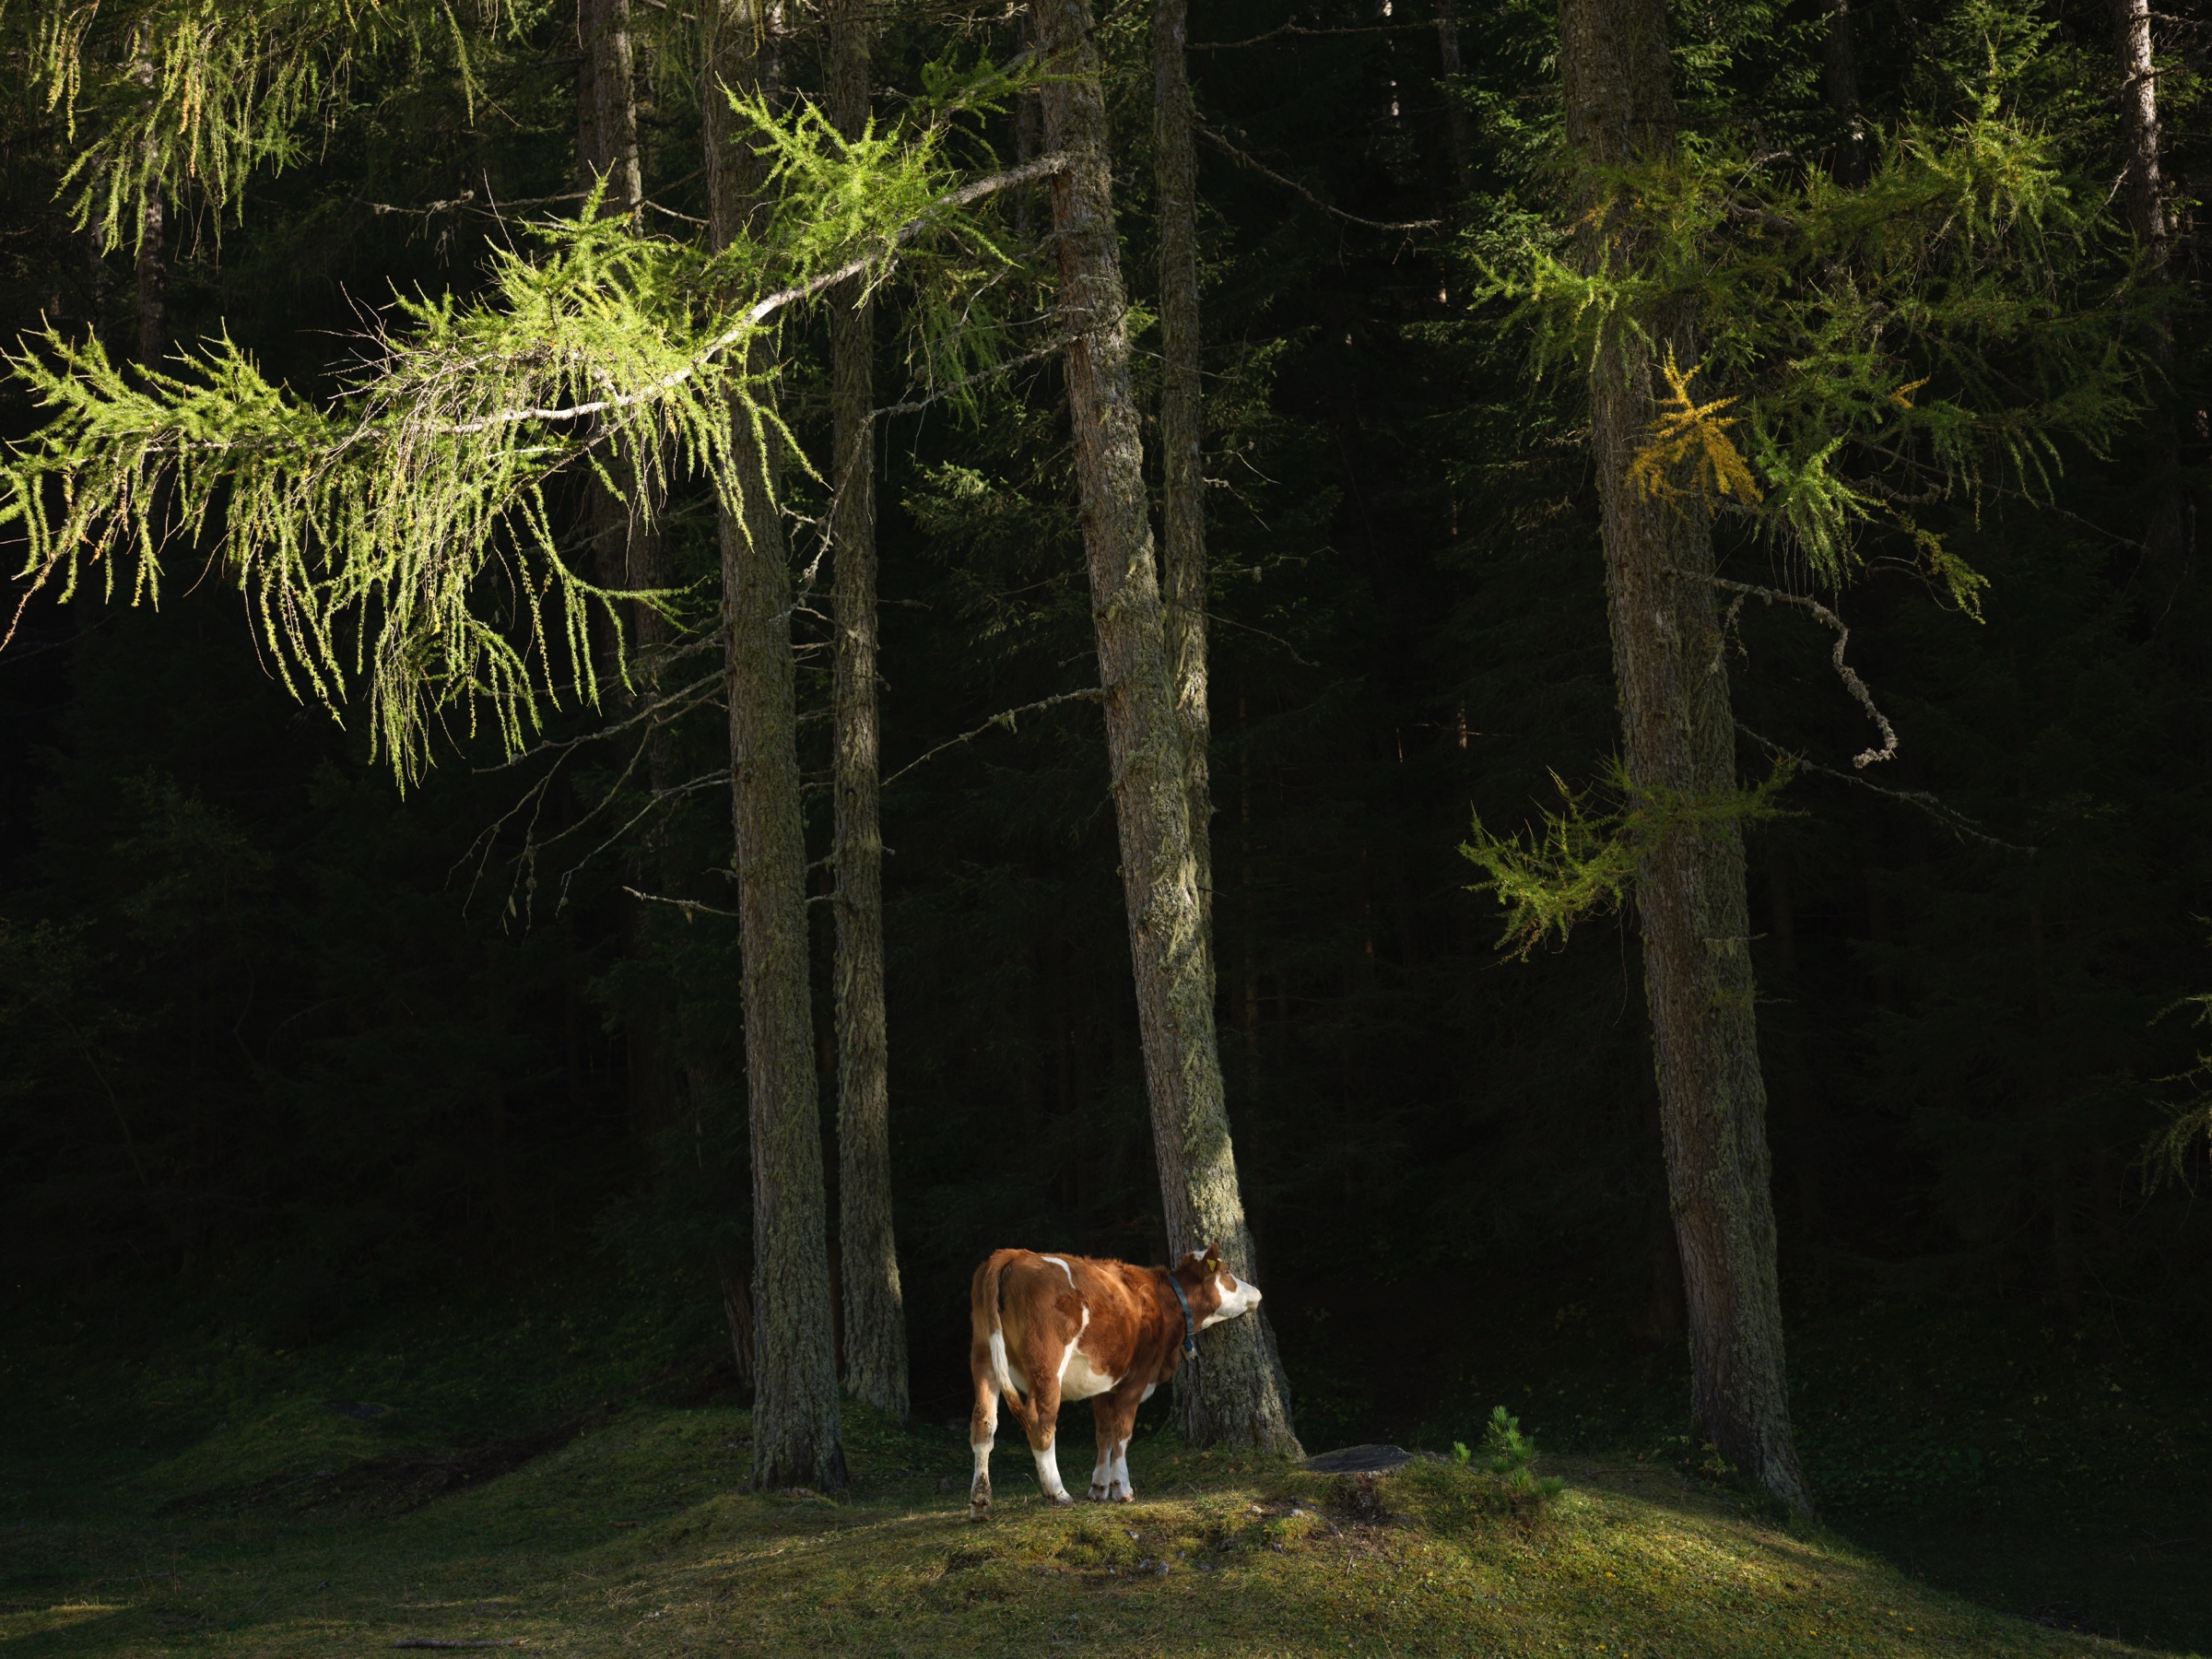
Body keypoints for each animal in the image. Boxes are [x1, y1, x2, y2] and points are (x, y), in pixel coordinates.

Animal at [966, 1243, 1263, 1519]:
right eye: (1227, 1271)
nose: (1257, 1292)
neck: (1166, 1302)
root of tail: (1013, 1254)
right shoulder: (1137, 1378)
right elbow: (1122, 1432)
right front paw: (1122, 1489)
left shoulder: (1103, 1385)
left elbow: (1104, 1434)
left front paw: (1098, 1489)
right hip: (1046, 1364)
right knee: (1041, 1423)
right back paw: (1058, 1492)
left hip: (983, 1356)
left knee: (983, 1422)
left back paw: (980, 1503)